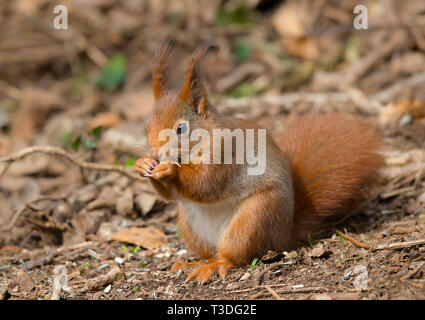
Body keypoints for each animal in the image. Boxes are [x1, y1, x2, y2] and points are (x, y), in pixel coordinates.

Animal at [133, 43, 384, 284]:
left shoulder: (227, 152)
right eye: (146, 126)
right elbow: (172, 195)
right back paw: (195, 262)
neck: (203, 139)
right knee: (209, 252)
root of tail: (286, 235)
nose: (156, 155)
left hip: (254, 218)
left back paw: (214, 266)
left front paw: (169, 169)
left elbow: (206, 183)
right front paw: (142, 165)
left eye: (181, 128)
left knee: (233, 256)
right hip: (191, 226)